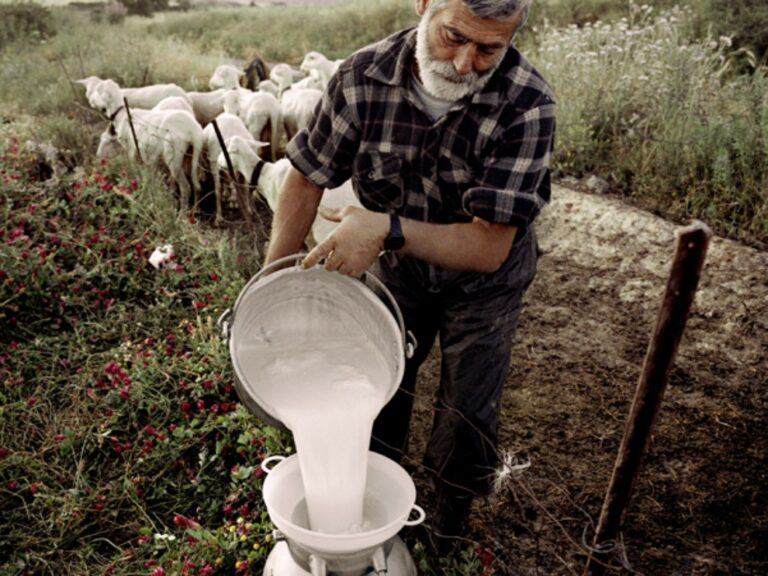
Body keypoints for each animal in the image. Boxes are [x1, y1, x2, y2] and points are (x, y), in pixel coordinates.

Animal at [94, 80, 206, 215]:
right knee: (196, 184)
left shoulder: (132, 151)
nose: (97, 157)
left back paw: (181, 215)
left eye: (99, 90)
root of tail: (193, 131)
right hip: (192, 156)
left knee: (185, 187)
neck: (122, 115)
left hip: (174, 156)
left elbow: (136, 172)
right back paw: (195, 210)